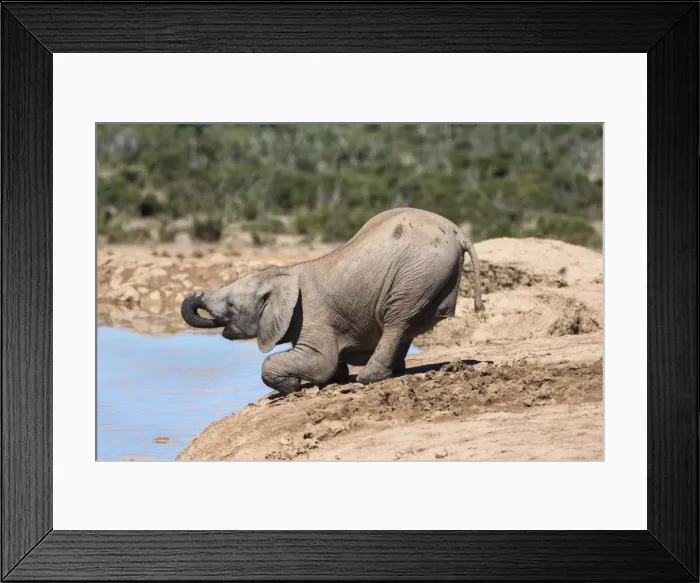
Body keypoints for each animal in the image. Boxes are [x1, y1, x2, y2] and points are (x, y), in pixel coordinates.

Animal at [181, 207, 484, 394]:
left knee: (397, 320)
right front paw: (335, 376)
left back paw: (368, 379)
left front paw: (292, 386)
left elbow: (320, 362)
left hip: (417, 272)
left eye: (231, 305)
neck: (282, 273)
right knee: (406, 324)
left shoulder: (311, 314)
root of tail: (456, 231)